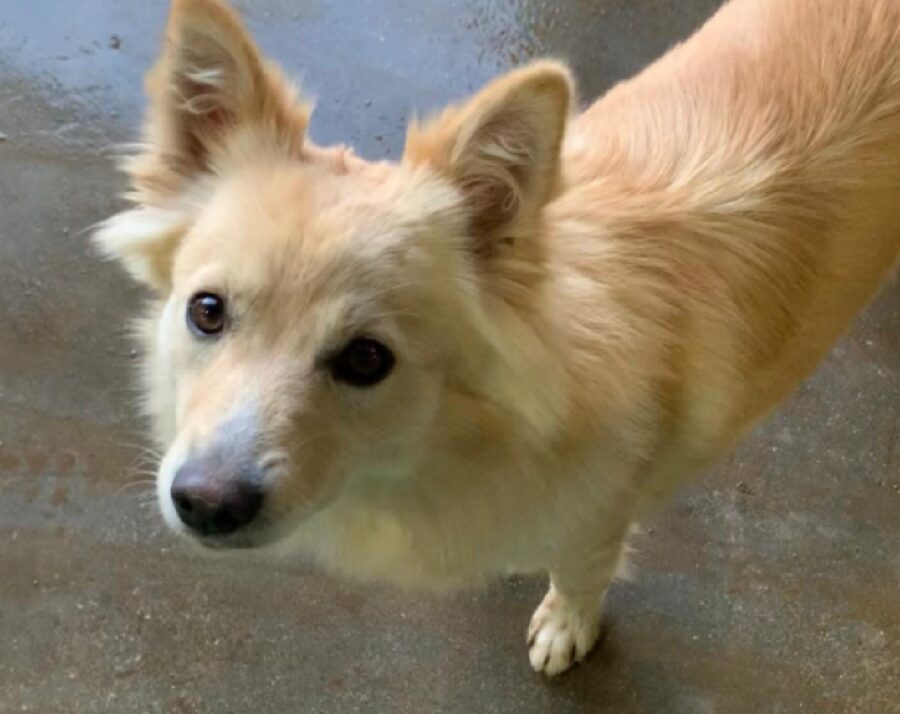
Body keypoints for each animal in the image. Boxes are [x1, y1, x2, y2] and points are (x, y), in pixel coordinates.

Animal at [93, 0, 900, 672]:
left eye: (366, 359)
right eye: (207, 311)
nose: (206, 503)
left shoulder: (597, 521)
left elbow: (581, 574)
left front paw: (567, 627)